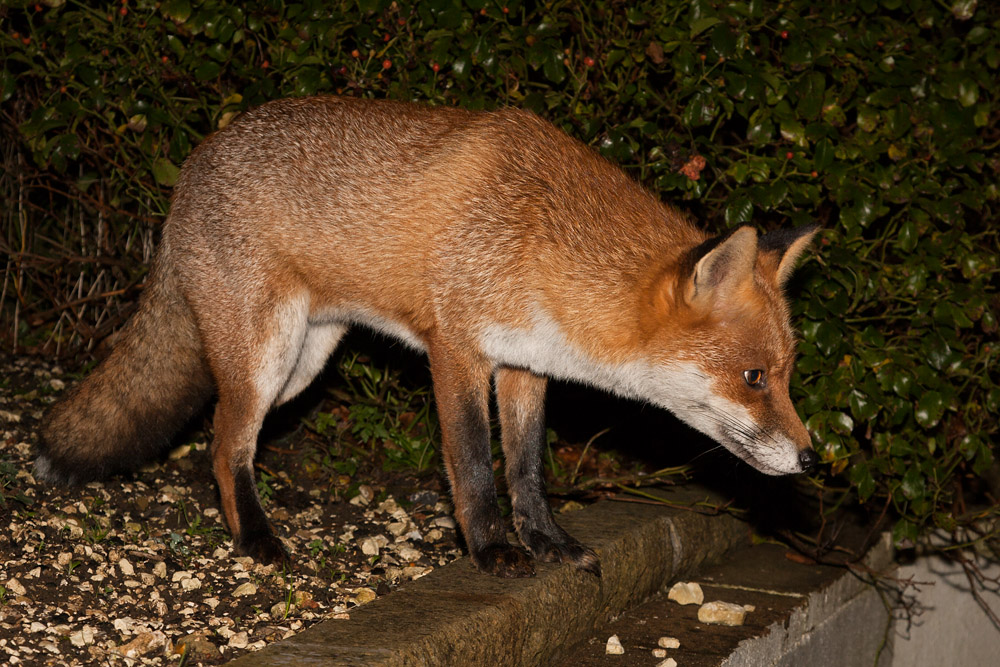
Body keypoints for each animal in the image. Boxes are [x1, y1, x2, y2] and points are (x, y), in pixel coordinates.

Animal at [36, 96, 819, 578]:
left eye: (786, 374)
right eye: (754, 378)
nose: (813, 459)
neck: (538, 237)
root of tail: (191, 168)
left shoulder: (526, 366)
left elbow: (527, 469)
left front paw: (548, 543)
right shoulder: (457, 350)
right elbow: (473, 464)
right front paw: (492, 550)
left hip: (302, 365)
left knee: (227, 435)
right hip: (264, 355)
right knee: (224, 439)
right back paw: (256, 537)